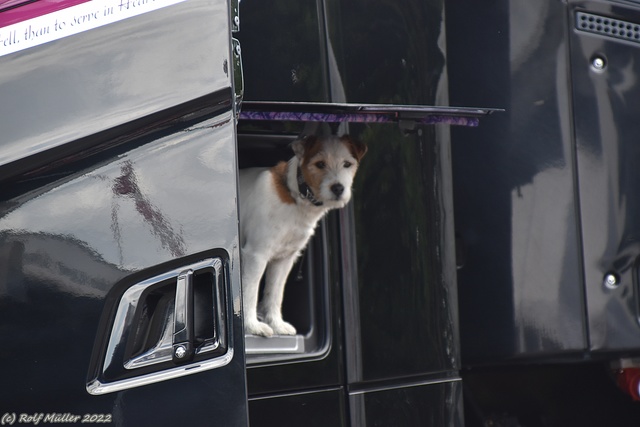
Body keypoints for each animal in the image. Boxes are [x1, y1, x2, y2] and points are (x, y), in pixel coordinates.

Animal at [239, 135, 368, 338]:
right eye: (320, 164)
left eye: (347, 164)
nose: (338, 188)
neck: (295, 197)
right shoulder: (256, 254)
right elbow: (251, 291)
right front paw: (252, 326)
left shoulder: (284, 259)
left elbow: (275, 293)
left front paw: (276, 324)